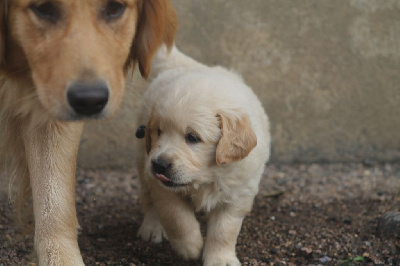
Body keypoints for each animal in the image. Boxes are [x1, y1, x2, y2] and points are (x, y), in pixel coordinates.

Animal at [136, 44, 270, 264]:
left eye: (193, 137)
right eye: (159, 131)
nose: (159, 164)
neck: (207, 176)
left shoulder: (237, 194)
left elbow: (224, 231)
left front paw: (220, 259)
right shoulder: (163, 188)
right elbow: (177, 217)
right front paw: (190, 247)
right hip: (143, 161)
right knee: (148, 199)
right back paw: (152, 227)